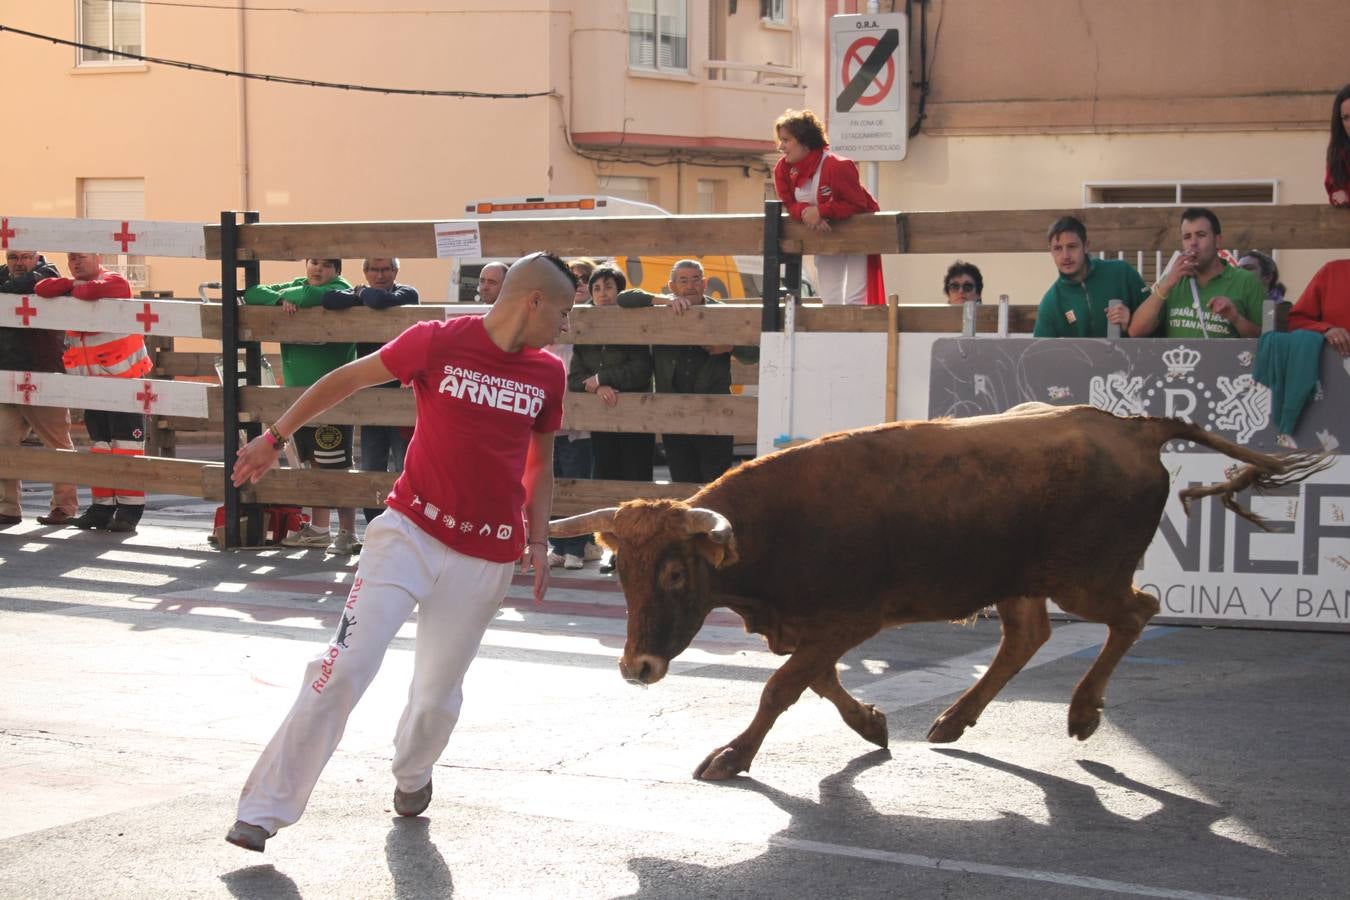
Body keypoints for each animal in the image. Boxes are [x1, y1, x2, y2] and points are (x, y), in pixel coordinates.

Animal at [548, 407, 1328, 782]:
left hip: (1086, 578)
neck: (773, 528)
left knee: (1136, 613)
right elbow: (817, 681)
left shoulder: (848, 619)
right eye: (620, 572)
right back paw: (954, 719)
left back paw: (1081, 712)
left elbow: (783, 687)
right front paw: (871, 724)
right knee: (1027, 637)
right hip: (1021, 581)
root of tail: (1134, 427)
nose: (638, 667)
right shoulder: (814, 627)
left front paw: (733, 757)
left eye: (676, 574)